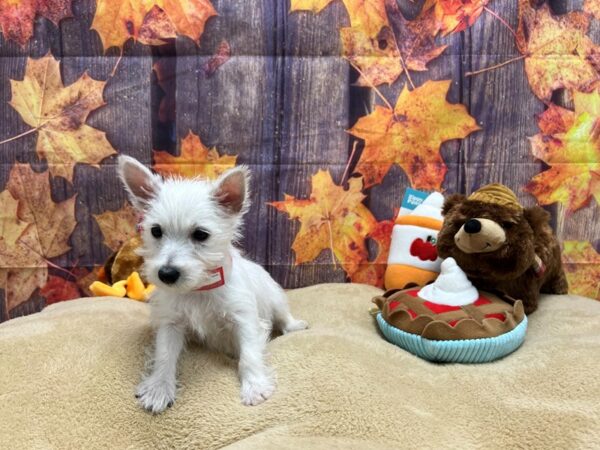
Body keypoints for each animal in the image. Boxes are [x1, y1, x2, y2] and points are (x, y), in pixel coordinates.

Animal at [116, 156, 308, 414]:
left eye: (201, 234)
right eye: (156, 231)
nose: (166, 274)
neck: (198, 288)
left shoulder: (245, 320)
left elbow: (249, 354)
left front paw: (255, 386)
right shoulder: (170, 323)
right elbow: (165, 355)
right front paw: (159, 388)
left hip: (275, 298)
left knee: (284, 318)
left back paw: (295, 326)